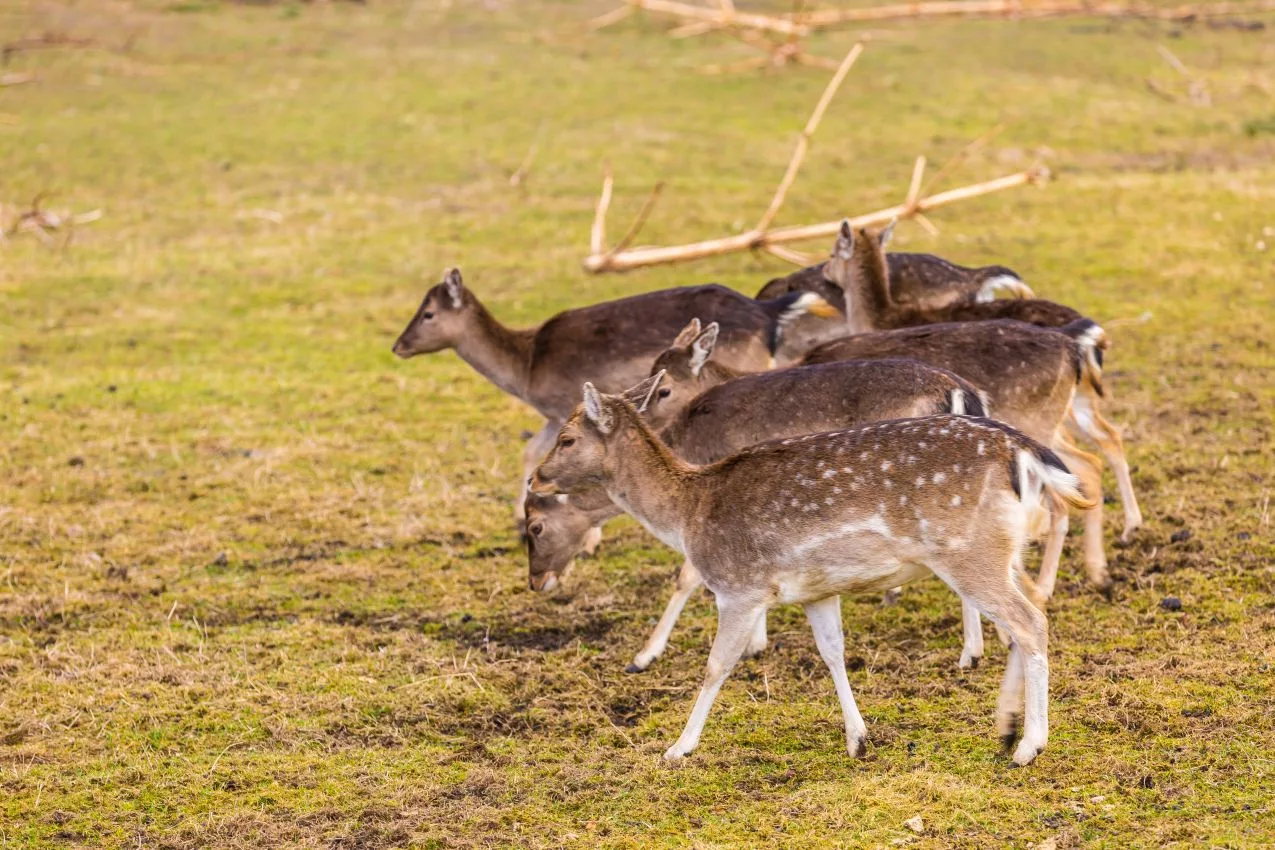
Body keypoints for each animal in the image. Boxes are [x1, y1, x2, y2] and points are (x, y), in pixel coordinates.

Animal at [392, 268, 841, 527]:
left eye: (428, 314)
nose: (398, 346)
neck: (526, 367)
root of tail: (768, 314)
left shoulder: (564, 404)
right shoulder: (553, 416)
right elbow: (531, 450)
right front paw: (518, 515)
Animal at [522, 323, 989, 672]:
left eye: (535, 527)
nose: (536, 581)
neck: (688, 453)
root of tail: (961, 394)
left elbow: (688, 575)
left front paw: (644, 655)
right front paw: (756, 639)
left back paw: (970, 652)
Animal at [532, 382, 1091, 769]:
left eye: (566, 438)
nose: (536, 477)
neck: (688, 512)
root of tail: (1023, 454)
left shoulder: (738, 587)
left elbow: (717, 665)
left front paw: (678, 747)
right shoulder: (818, 591)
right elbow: (833, 654)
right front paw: (858, 739)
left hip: (969, 552)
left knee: (1029, 622)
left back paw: (1028, 746)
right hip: (1002, 550)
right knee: (1034, 606)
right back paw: (1007, 727)